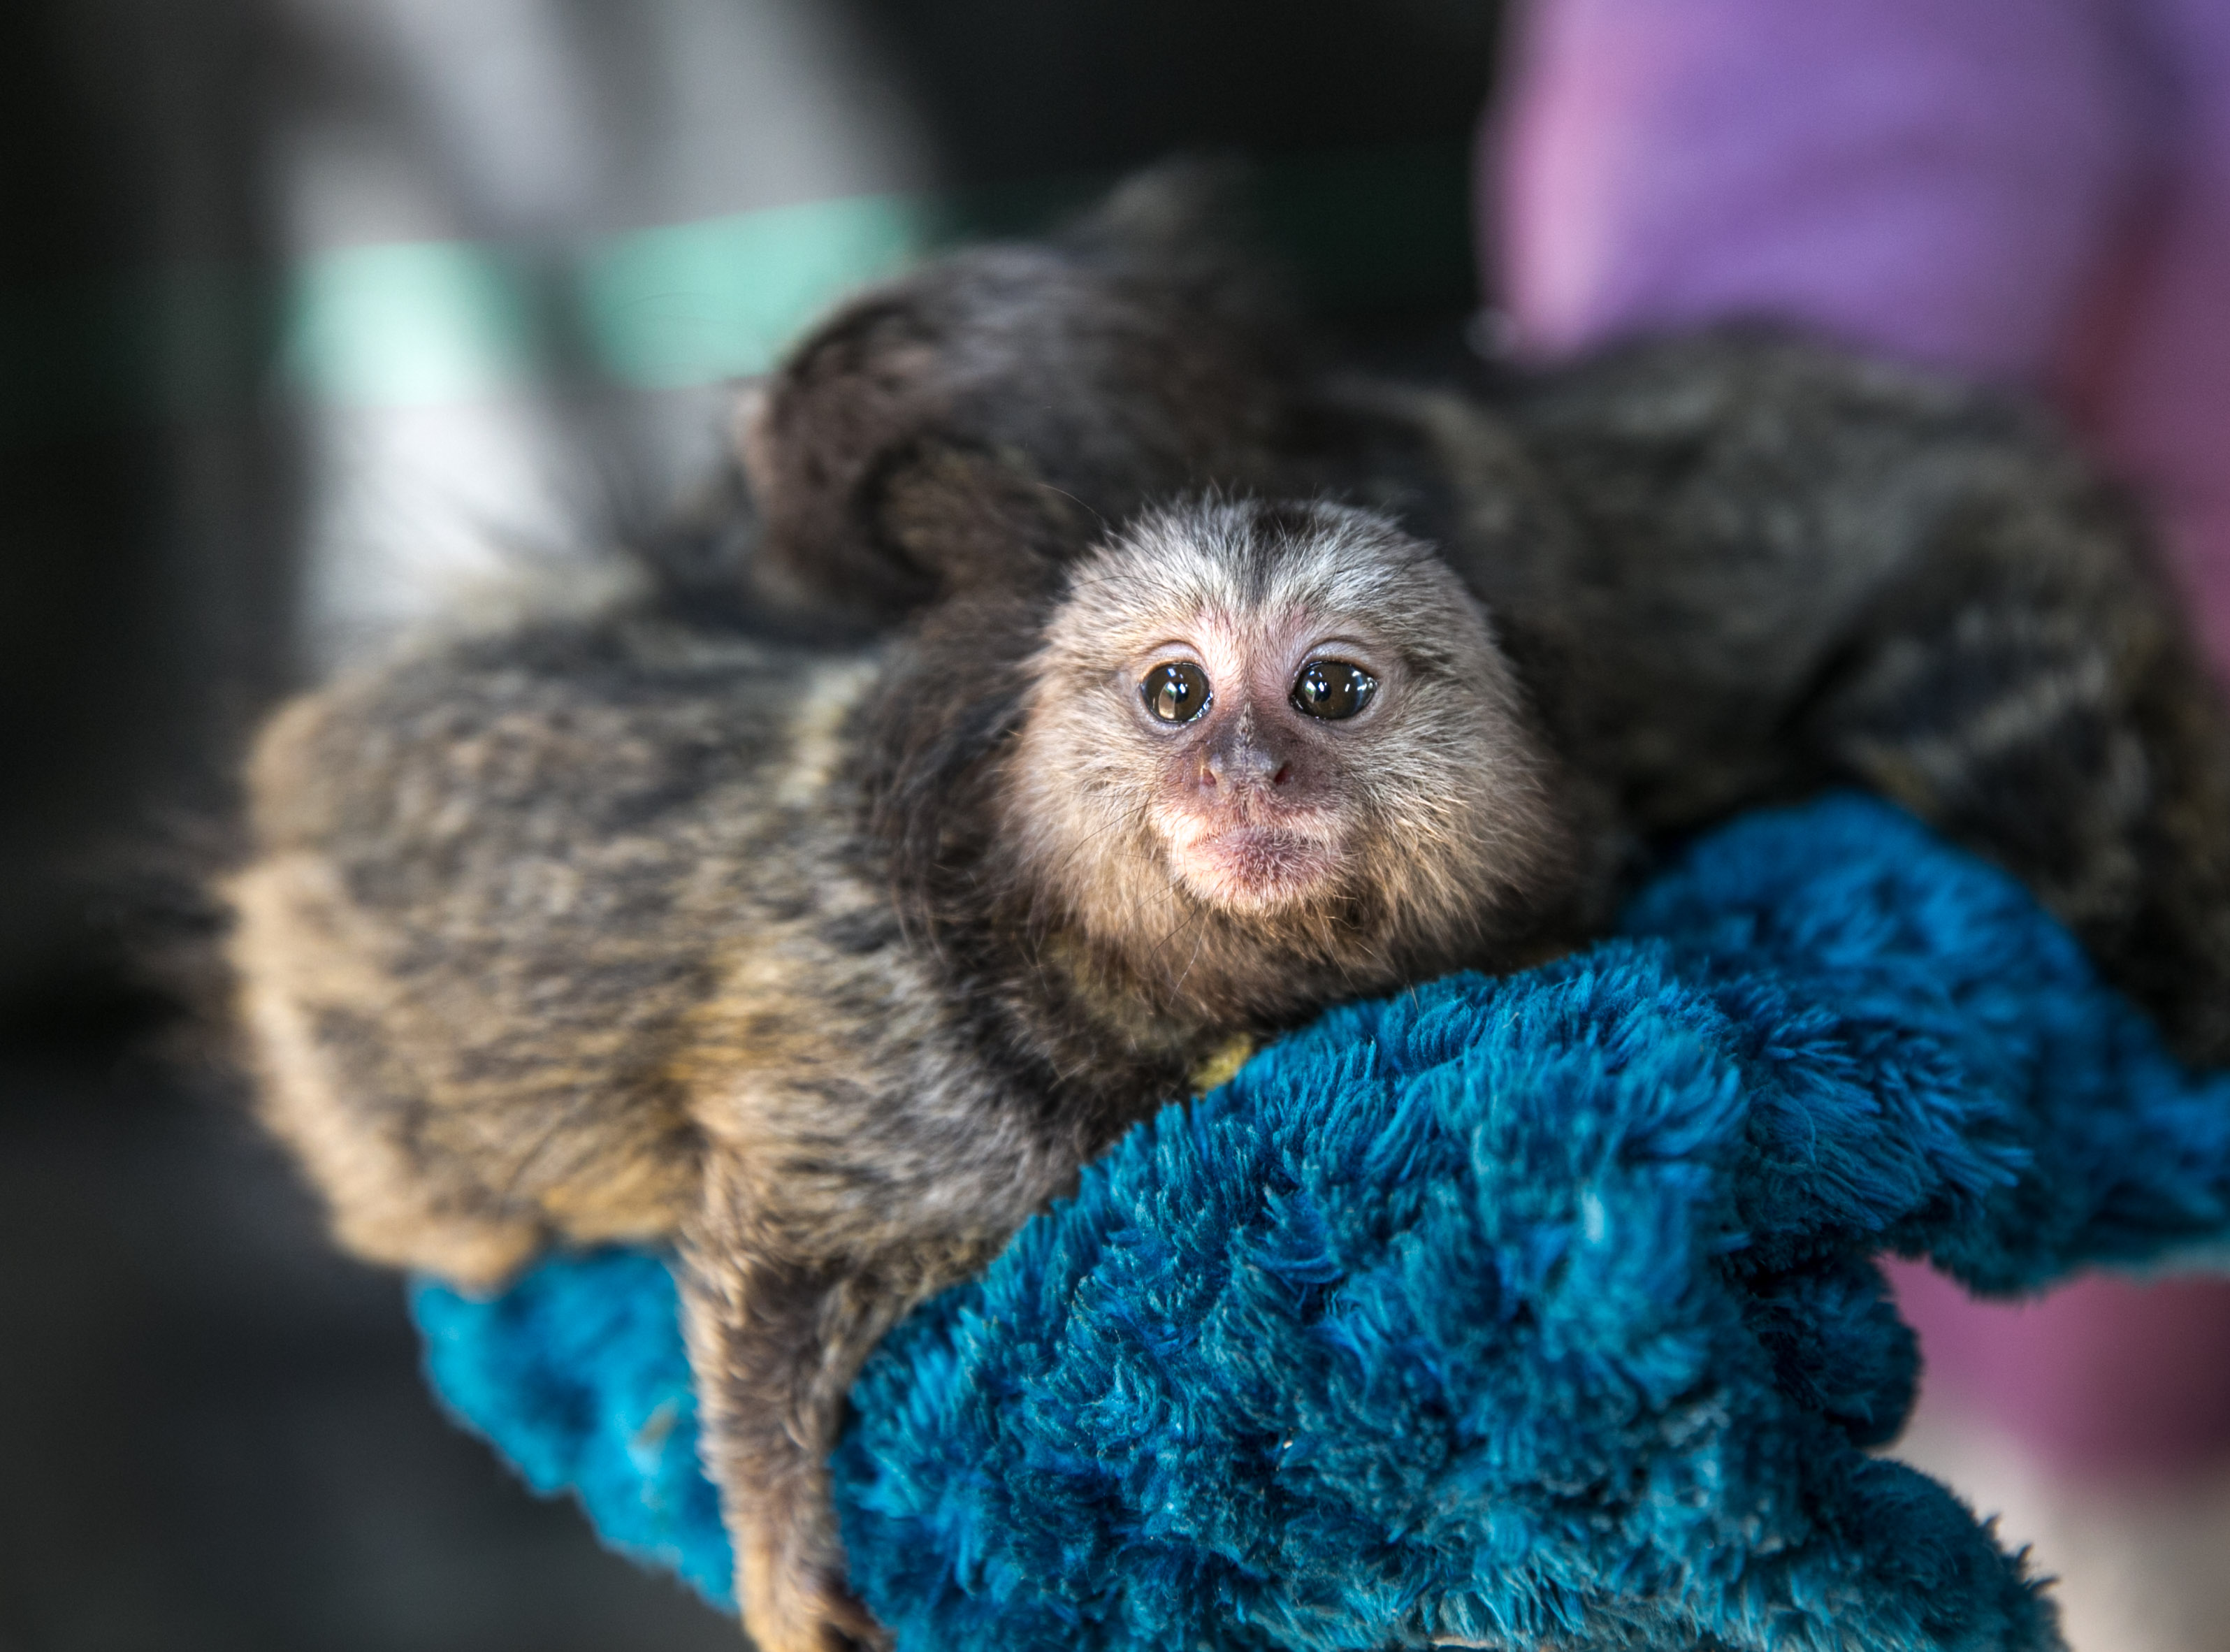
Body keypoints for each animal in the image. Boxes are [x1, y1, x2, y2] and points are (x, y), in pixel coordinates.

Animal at [225, 496, 1582, 1652]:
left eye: (1330, 688)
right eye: (1177, 691)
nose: (1244, 768)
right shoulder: (896, 1064)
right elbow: (769, 1271)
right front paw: (780, 1556)